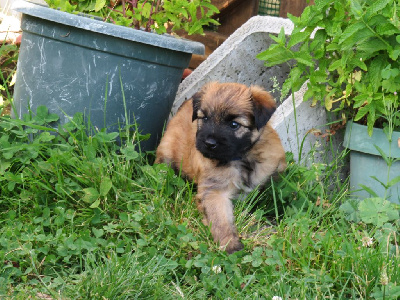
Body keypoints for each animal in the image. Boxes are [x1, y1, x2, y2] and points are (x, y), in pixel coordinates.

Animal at [155, 81, 286, 253]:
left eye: (234, 124)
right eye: (204, 118)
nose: (209, 143)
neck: (241, 159)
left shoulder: (269, 174)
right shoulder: (215, 191)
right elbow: (220, 219)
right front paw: (231, 245)